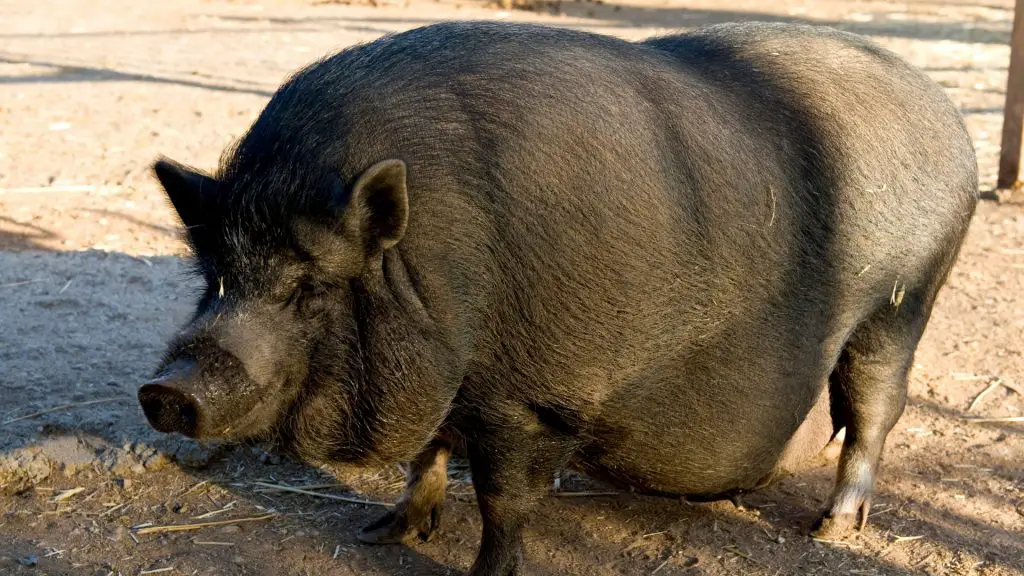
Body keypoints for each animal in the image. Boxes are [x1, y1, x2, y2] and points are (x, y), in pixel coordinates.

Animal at [136, 21, 974, 573]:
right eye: (214, 277)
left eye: (308, 287)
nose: (165, 389)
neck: (434, 274)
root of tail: (947, 113)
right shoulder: (456, 385)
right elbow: (427, 455)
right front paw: (384, 533)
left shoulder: (529, 402)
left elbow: (504, 505)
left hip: (904, 303)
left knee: (874, 411)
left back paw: (831, 532)